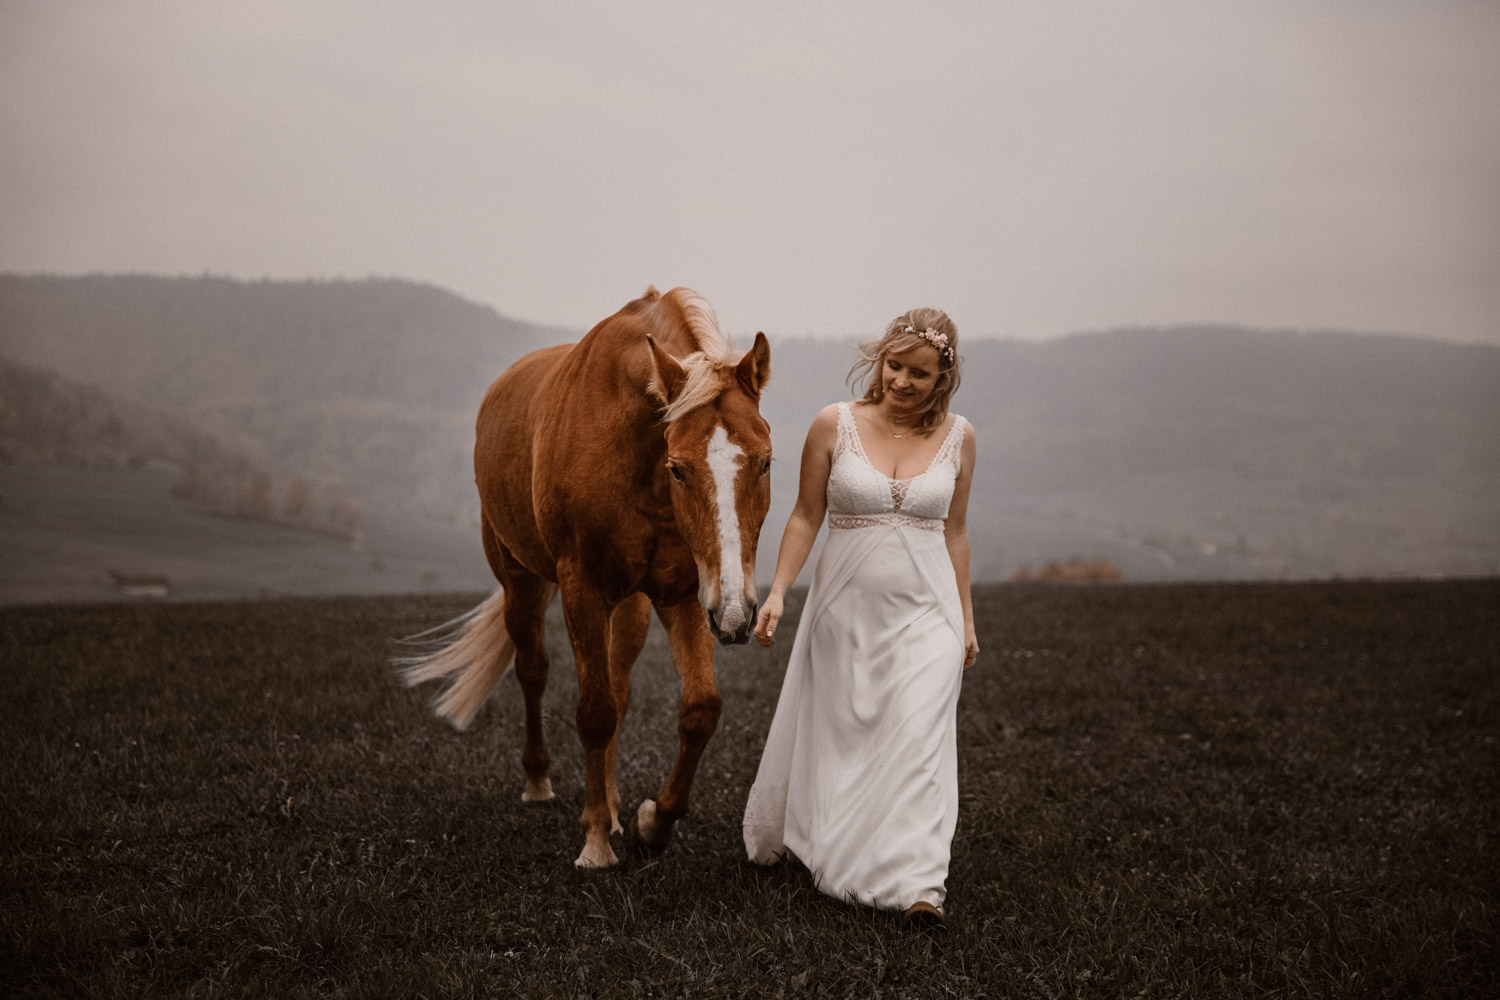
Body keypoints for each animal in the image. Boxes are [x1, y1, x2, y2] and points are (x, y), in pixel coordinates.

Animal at [399, 284, 774, 863]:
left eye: (766, 462)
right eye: (679, 468)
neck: (635, 453)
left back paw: (617, 808)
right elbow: (594, 711)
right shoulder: (582, 589)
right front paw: (595, 841)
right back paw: (539, 783)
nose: (737, 613)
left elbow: (698, 710)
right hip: (521, 582)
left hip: (633, 605)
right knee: (533, 669)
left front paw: (650, 821)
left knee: (619, 687)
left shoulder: (685, 594)